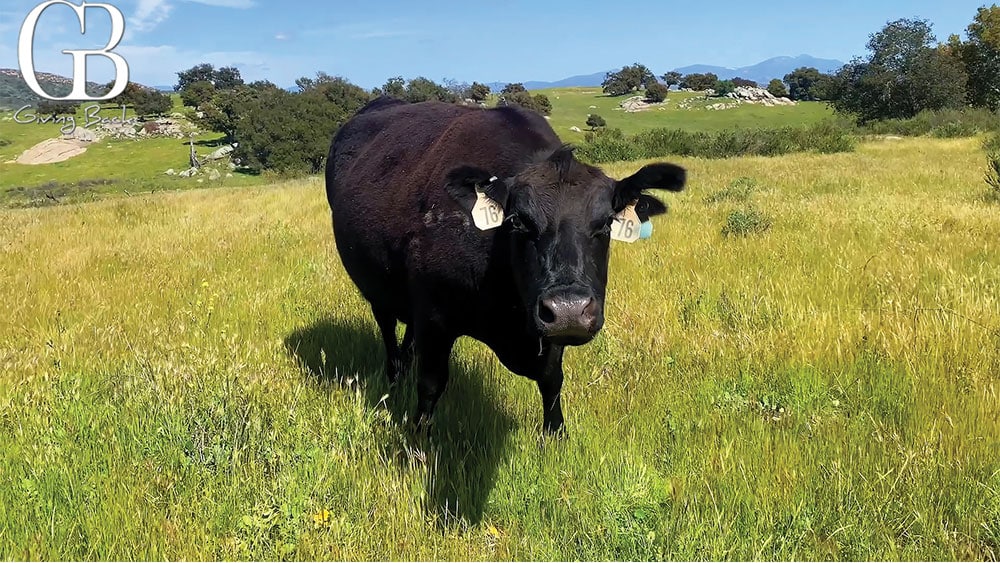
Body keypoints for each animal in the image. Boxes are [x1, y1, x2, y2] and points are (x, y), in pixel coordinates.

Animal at [328, 97, 688, 434]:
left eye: (606, 223)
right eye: (518, 221)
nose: (569, 310)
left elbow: (552, 380)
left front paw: (556, 436)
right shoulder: (434, 316)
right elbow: (430, 384)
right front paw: (419, 440)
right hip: (376, 287)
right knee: (388, 331)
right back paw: (394, 379)